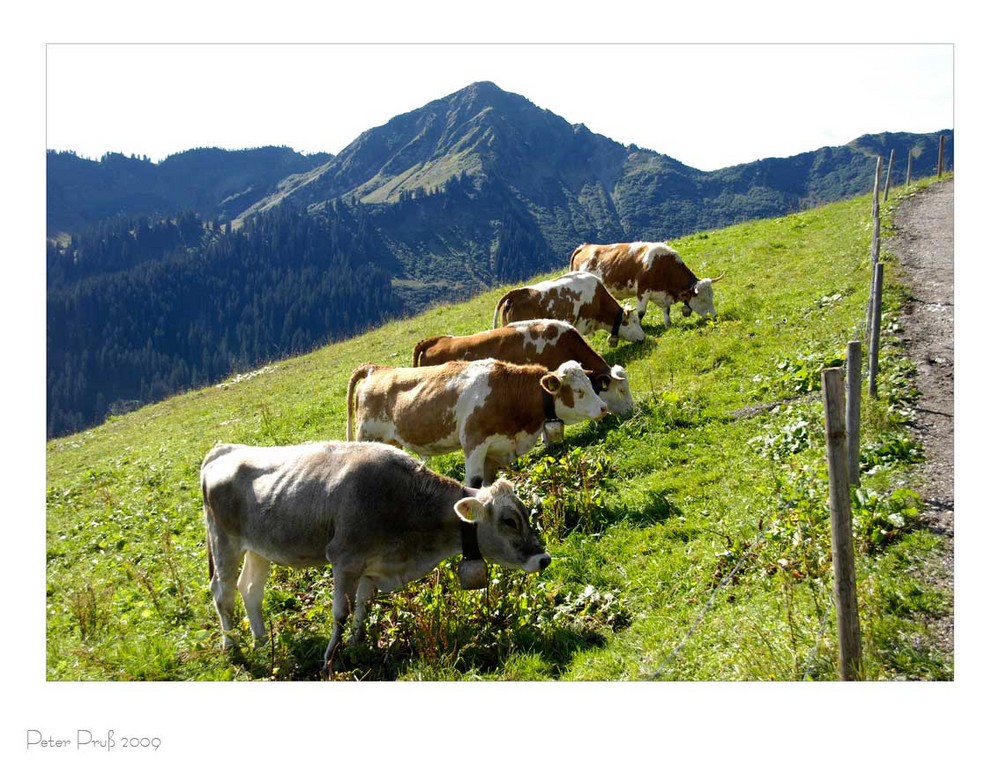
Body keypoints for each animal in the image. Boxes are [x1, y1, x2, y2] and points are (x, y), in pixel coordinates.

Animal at [199, 440, 552, 668]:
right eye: (509, 521)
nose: (543, 559)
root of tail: (225, 449)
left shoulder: (372, 564)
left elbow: (363, 607)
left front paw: (357, 645)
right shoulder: (344, 559)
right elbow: (341, 612)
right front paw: (330, 659)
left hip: (258, 548)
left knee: (250, 590)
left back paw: (260, 642)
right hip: (224, 541)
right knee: (222, 593)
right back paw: (231, 645)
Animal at [348, 358, 604, 484]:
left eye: (590, 385)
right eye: (579, 391)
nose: (603, 407)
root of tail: (376, 369)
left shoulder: (494, 451)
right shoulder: (474, 444)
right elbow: (473, 484)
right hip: (367, 438)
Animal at [568, 244, 724, 326]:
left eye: (712, 296)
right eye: (702, 299)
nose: (715, 316)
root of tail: (585, 246)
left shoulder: (662, 294)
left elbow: (666, 310)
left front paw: (668, 325)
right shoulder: (643, 291)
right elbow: (641, 312)